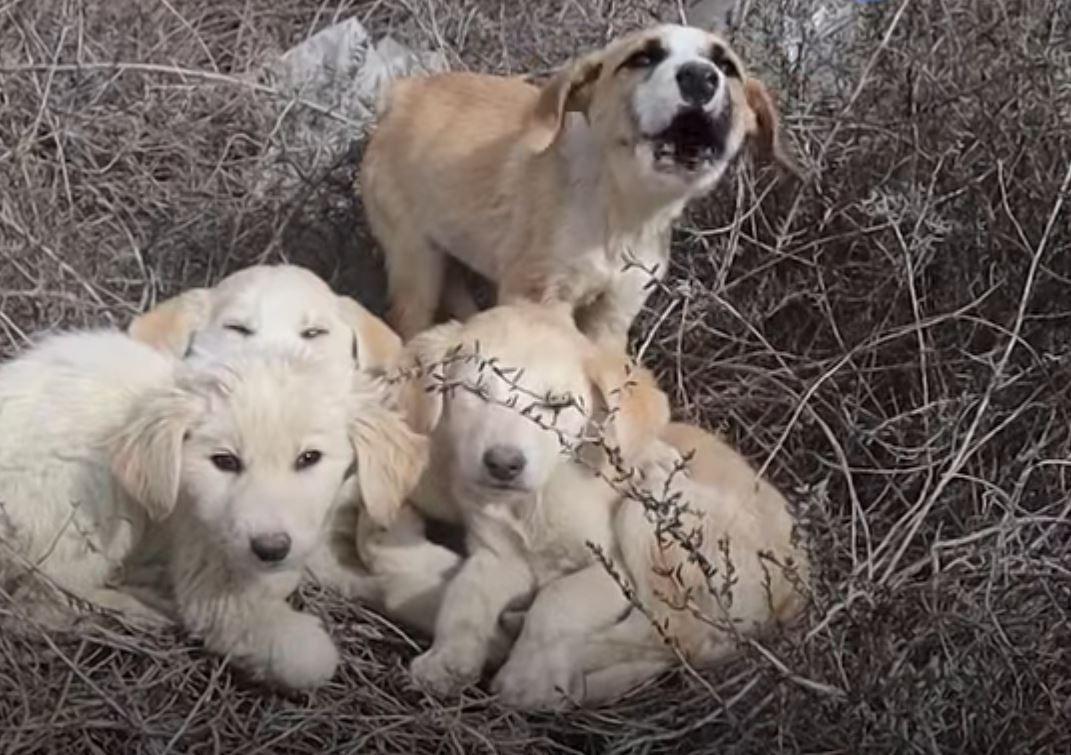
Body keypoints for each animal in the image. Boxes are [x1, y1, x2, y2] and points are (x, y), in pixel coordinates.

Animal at [0, 329, 426, 689]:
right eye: (224, 461)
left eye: (309, 457)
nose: (270, 548)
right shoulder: (212, 579)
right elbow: (311, 658)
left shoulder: (311, 532)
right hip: (89, 498)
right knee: (37, 606)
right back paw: (138, 606)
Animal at [364, 22, 801, 346]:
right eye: (642, 58)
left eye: (726, 66)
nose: (699, 77)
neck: (622, 209)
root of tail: (402, 92)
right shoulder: (539, 298)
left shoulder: (614, 314)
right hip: (414, 262)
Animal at [398, 302, 805, 706]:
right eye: (473, 391)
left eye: (556, 403)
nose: (502, 464)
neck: (535, 501)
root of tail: (798, 584)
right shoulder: (500, 557)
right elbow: (465, 594)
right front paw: (447, 660)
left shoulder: (612, 570)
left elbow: (557, 599)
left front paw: (527, 675)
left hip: (650, 514)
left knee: (673, 634)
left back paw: (558, 675)